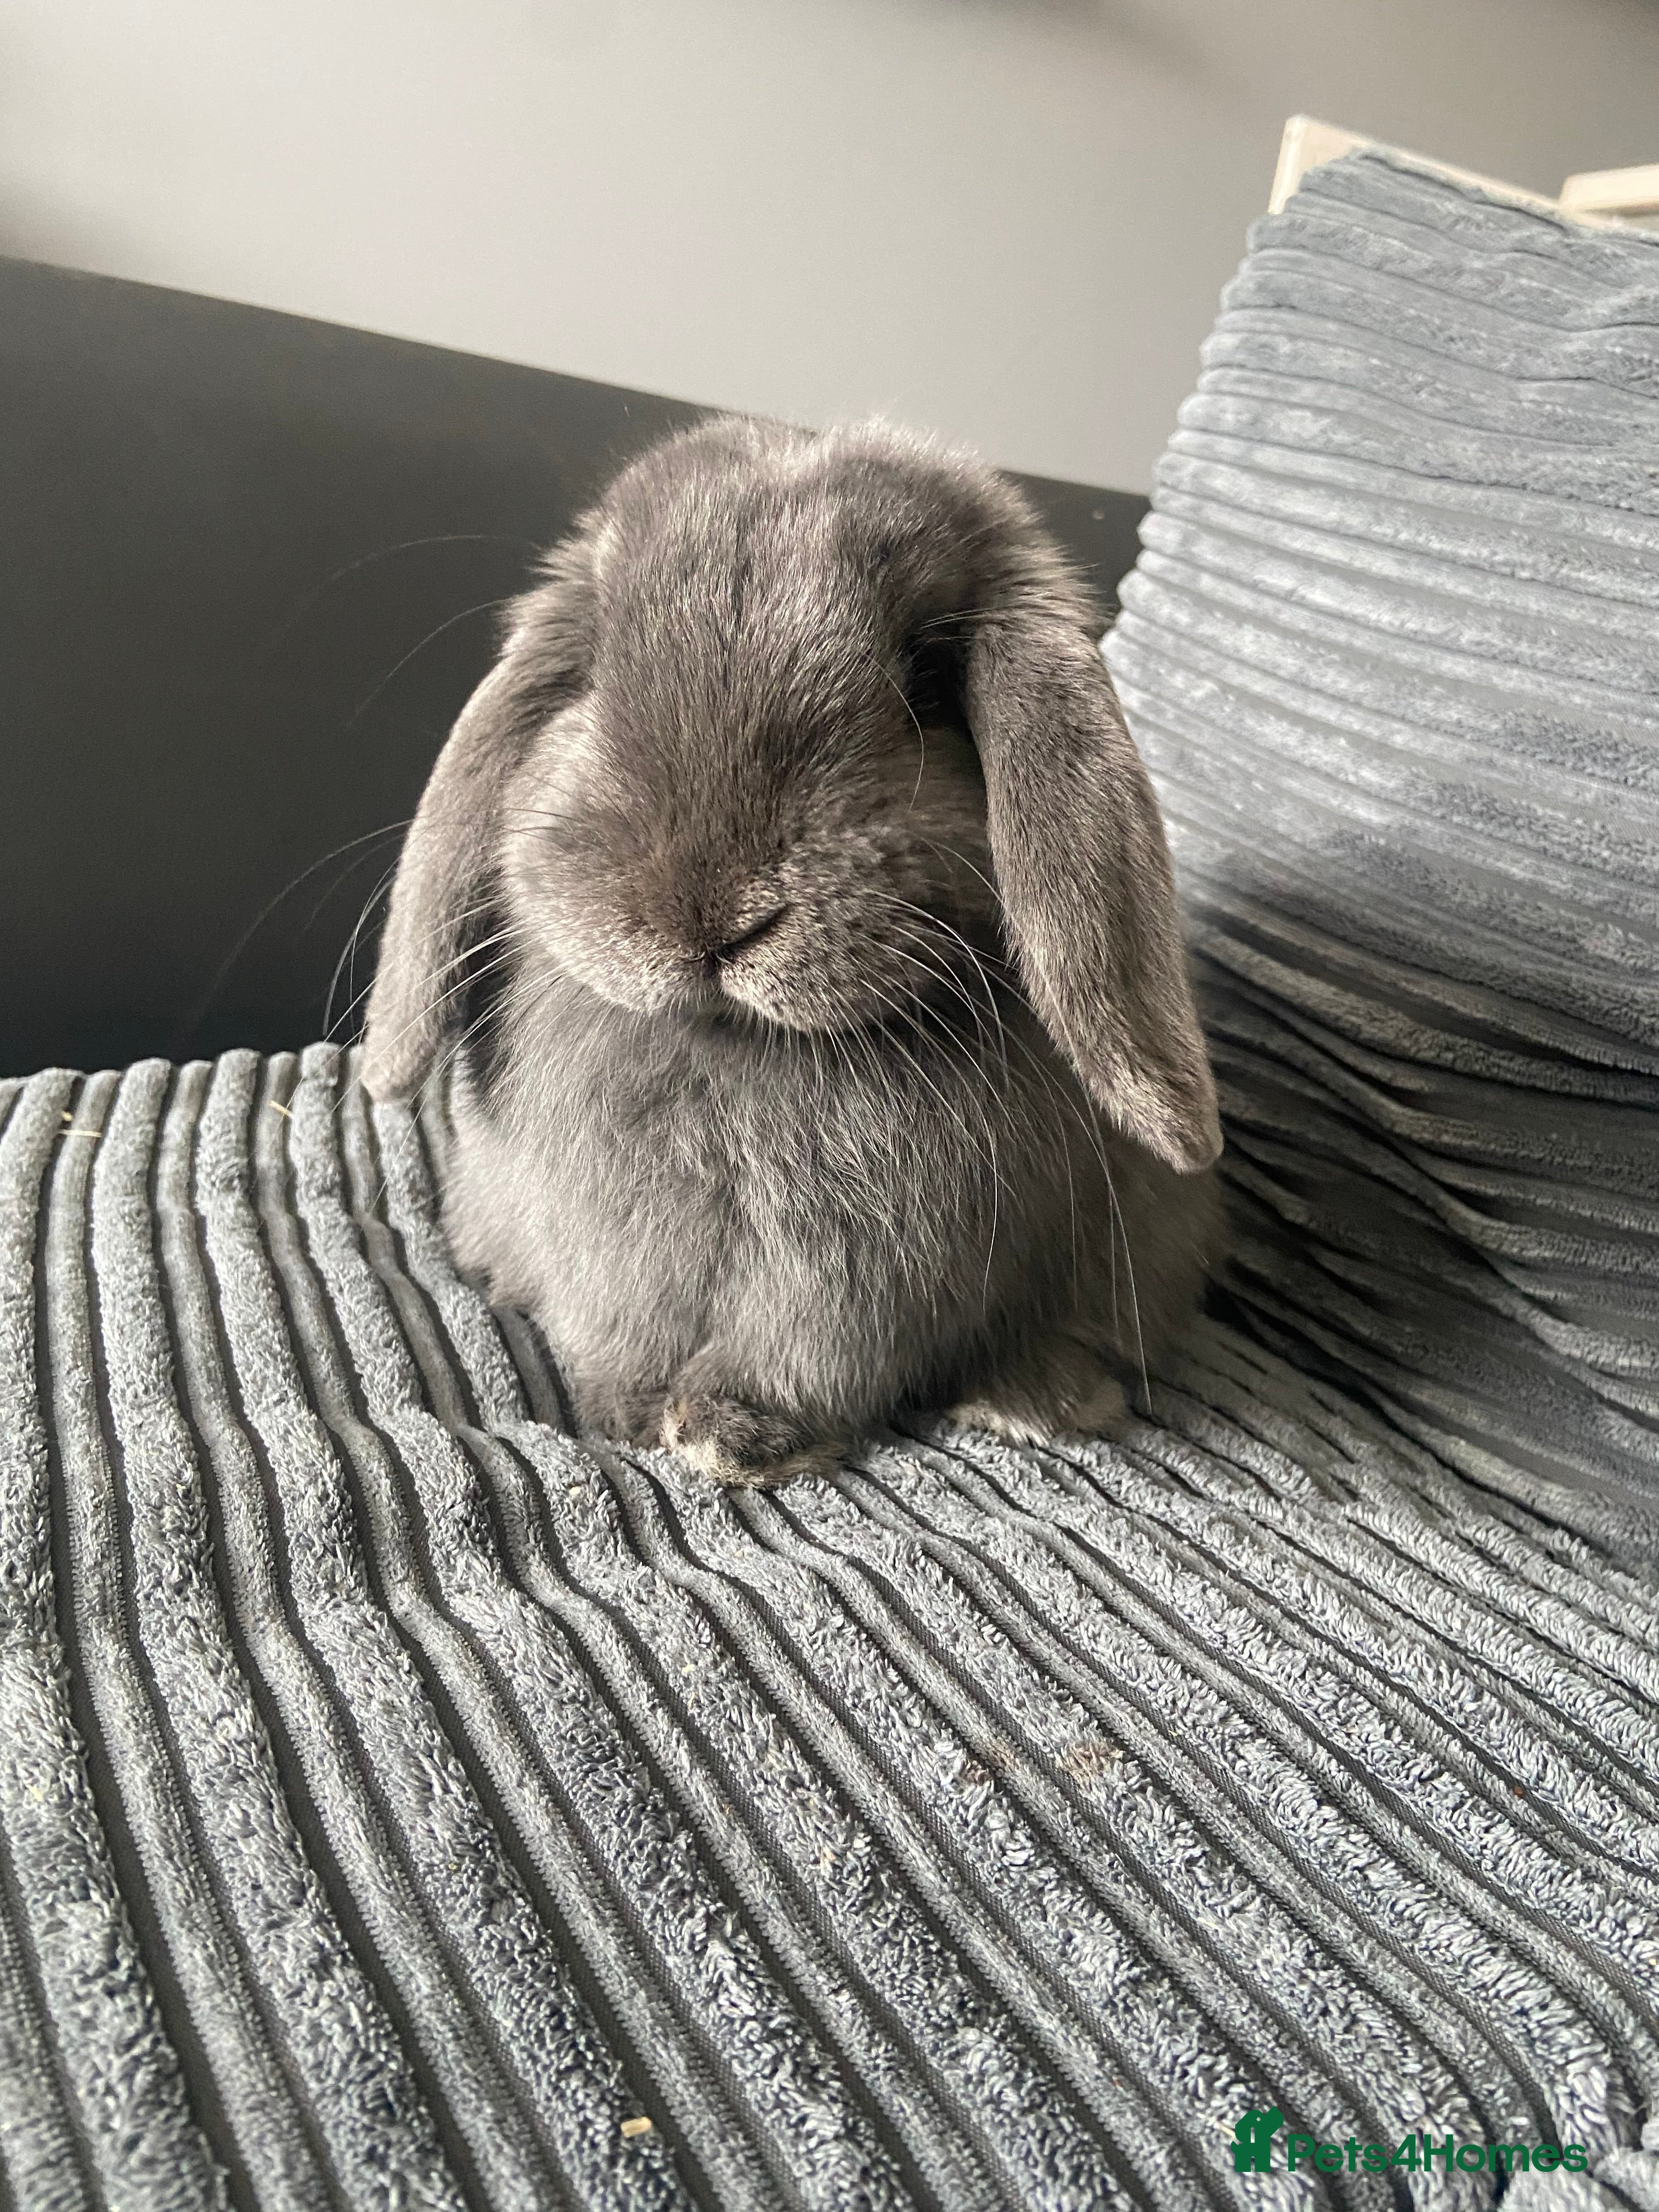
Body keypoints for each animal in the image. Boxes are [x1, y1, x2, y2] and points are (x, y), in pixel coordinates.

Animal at [363, 416, 1224, 1486]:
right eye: (595, 665)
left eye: (927, 680)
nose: (702, 914)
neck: (736, 1048)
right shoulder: (605, 1249)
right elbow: (619, 1336)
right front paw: (626, 1414)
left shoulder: (860, 1281)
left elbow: (804, 1355)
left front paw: (734, 1438)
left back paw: (1032, 1401)